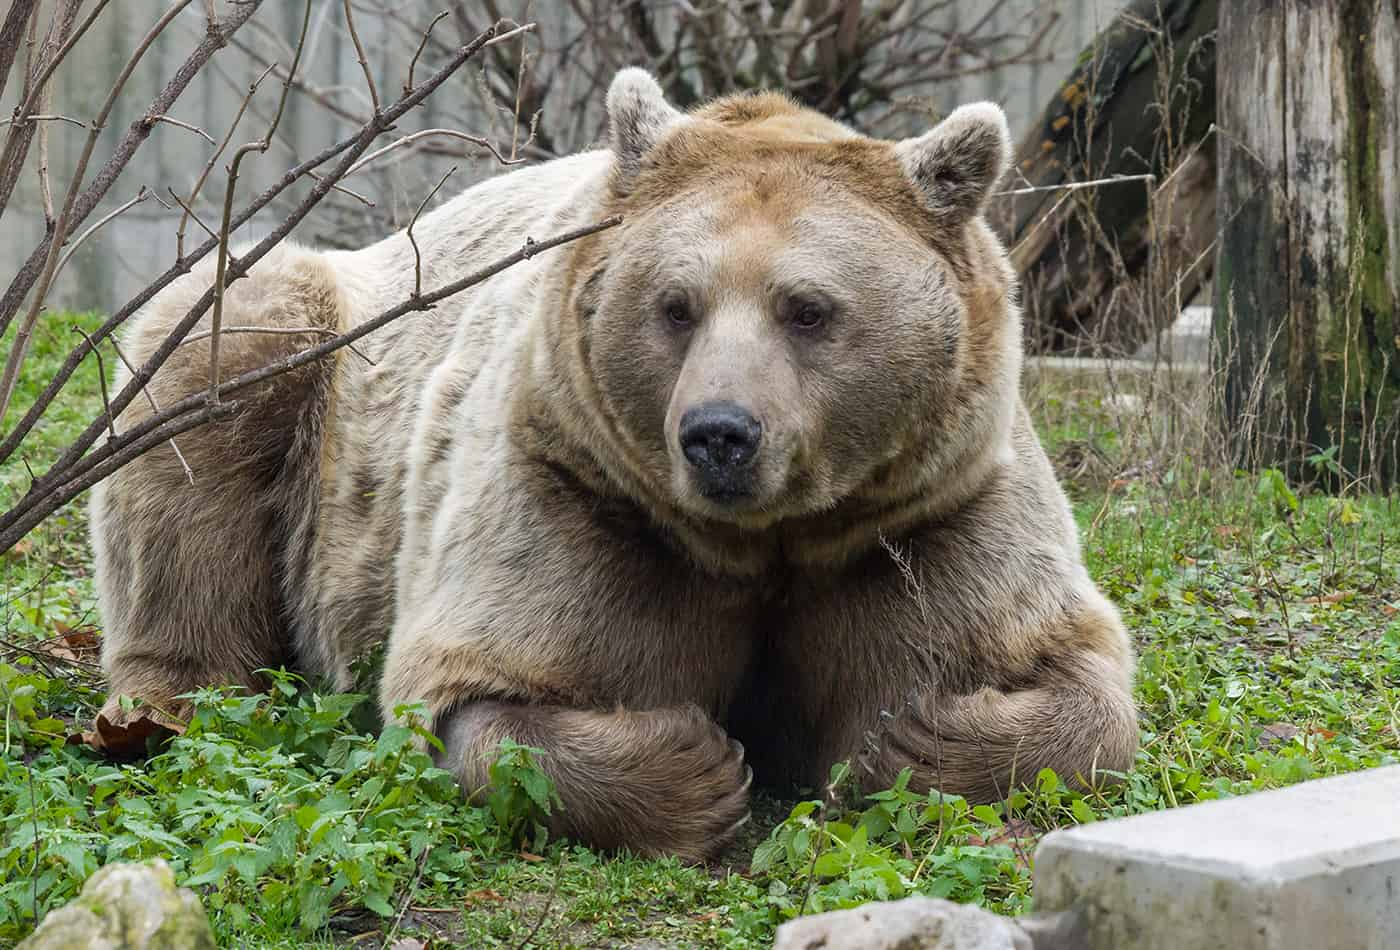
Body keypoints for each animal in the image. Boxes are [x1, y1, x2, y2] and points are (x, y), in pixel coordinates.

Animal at [87, 68, 1136, 861]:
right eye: (677, 305)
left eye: (808, 308)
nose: (720, 432)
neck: (770, 539)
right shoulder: (581, 493)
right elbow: (485, 688)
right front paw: (699, 765)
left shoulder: (924, 511)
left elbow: (1071, 679)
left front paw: (911, 738)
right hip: (321, 354)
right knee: (213, 373)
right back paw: (163, 705)